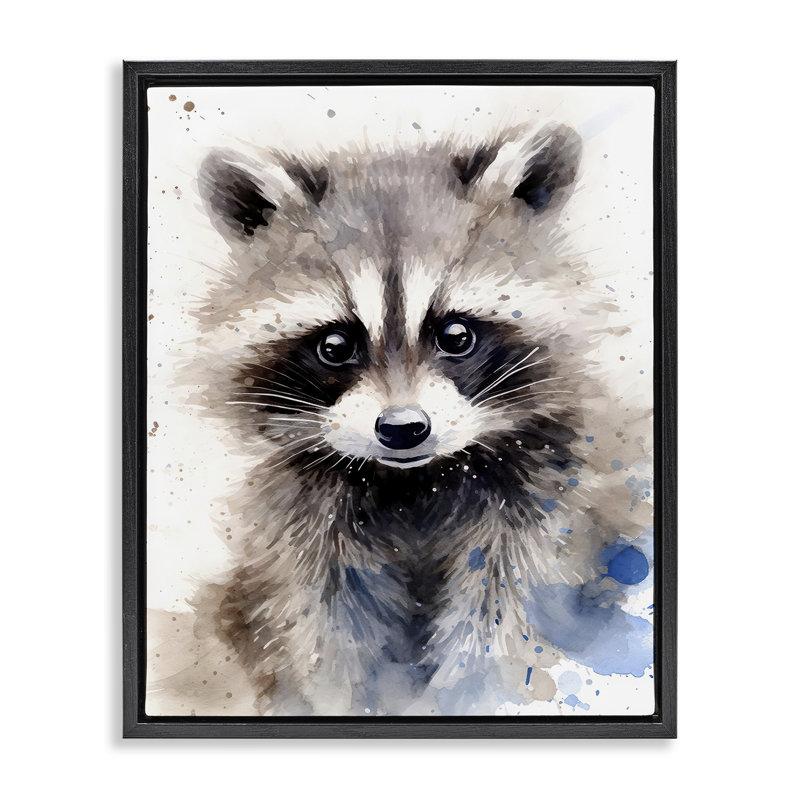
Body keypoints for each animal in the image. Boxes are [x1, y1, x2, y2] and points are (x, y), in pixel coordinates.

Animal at [150, 124, 654, 716]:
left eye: (456, 334)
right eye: (335, 345)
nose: (402, 429)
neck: (414, 482)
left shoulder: (549, 495)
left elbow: (505, 613)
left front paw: (472, 692)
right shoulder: (305, 527)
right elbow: (327, 630)